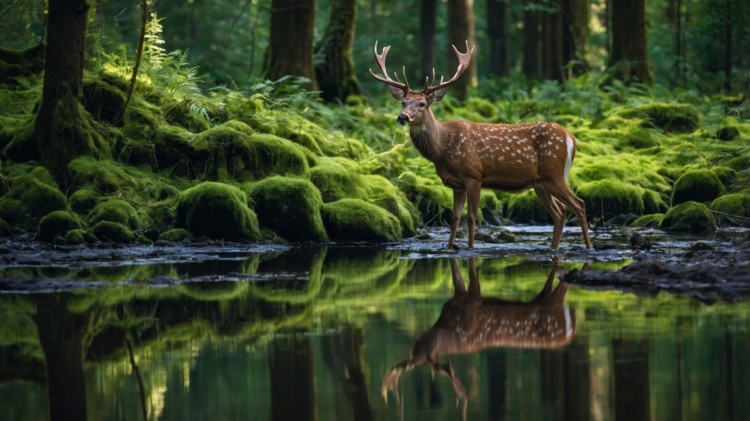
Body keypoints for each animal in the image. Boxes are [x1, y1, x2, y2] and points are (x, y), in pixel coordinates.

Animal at [369, 41, 593, 250]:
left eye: (422, 104)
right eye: (403, 102)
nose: (402, 117)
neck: (442, 149)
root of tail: (571, 138)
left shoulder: (474, 176)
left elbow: (471, 218)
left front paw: (470, 248)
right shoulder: (456, 184)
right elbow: (454, 219)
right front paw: (450, 248)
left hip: (554, 174)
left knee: (579, 204)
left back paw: (589, 247)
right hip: (541, 183)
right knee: (559, 212)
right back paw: (554, 248)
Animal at [381, 257, 575, 415]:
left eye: (428, 356)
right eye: (415, 357)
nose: (418, 346)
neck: (447, 328)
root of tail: (569, 332)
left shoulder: (472, 300)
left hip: (552, 304)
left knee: (563, 286)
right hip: (545, 298)